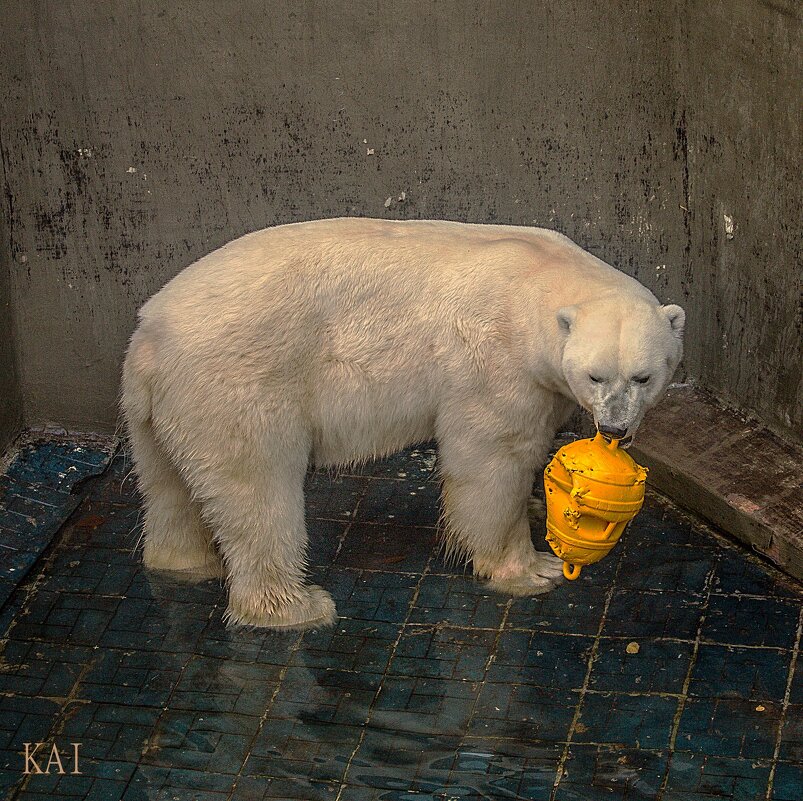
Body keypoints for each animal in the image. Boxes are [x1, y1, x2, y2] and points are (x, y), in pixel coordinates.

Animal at [121, 216, 684, 628]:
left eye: (643, 376)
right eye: (595, 375)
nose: (615, 430)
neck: (539, 276)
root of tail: (150, 337)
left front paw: (539, 505)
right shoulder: (495, 360)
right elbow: (491, 456)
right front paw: (529, 568)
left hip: (161, 409)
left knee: (169, 485)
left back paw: (184, 561)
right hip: (239, 385)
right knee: (257, 490)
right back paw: (297, 608)